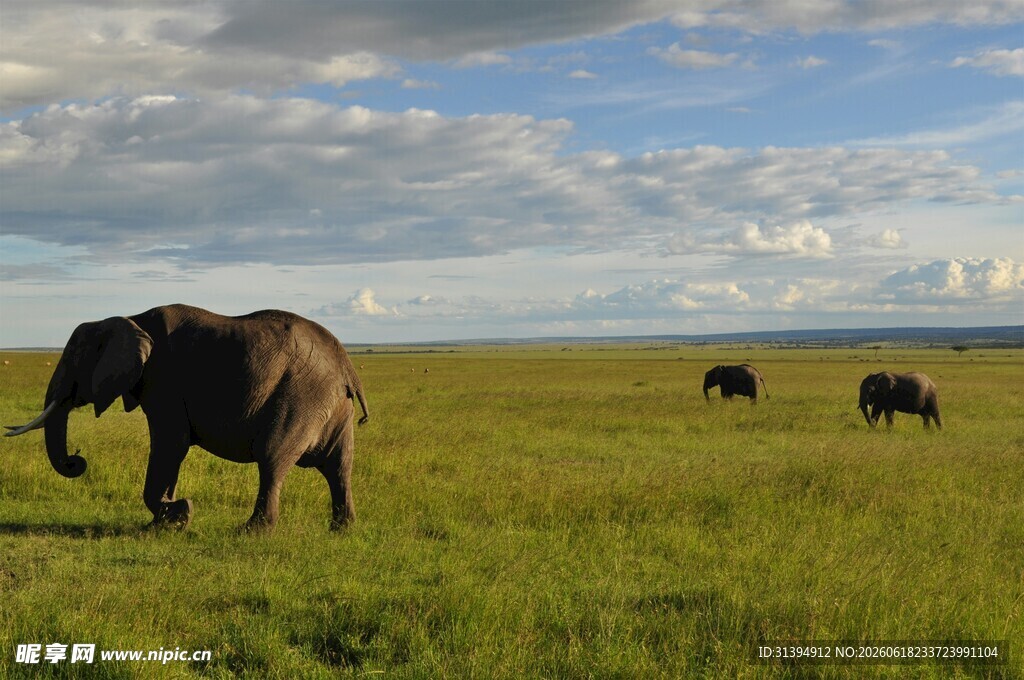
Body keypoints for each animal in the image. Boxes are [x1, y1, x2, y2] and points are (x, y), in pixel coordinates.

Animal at [5, 304, 369, 531]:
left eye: (74, 359)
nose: (76, 460)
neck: (129, 319)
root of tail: (346, 365)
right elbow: (171, 448)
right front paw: (164, 522)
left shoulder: (162, 380)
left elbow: (170, 443)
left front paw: (178, 515)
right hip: (331, 404)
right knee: (339, 466)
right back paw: (341, 530)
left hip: (301, 395)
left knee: (273, 458)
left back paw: (251, 531)